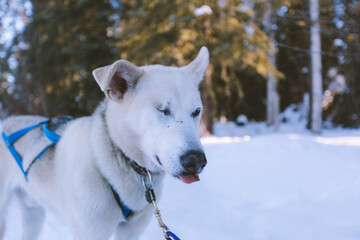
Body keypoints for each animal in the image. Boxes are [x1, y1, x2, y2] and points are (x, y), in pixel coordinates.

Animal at [0, 47, 208, 240]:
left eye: (196, 111)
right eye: (163, 110)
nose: (197, 160)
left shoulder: (130, 232)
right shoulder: (90, 233)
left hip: (34, 216)